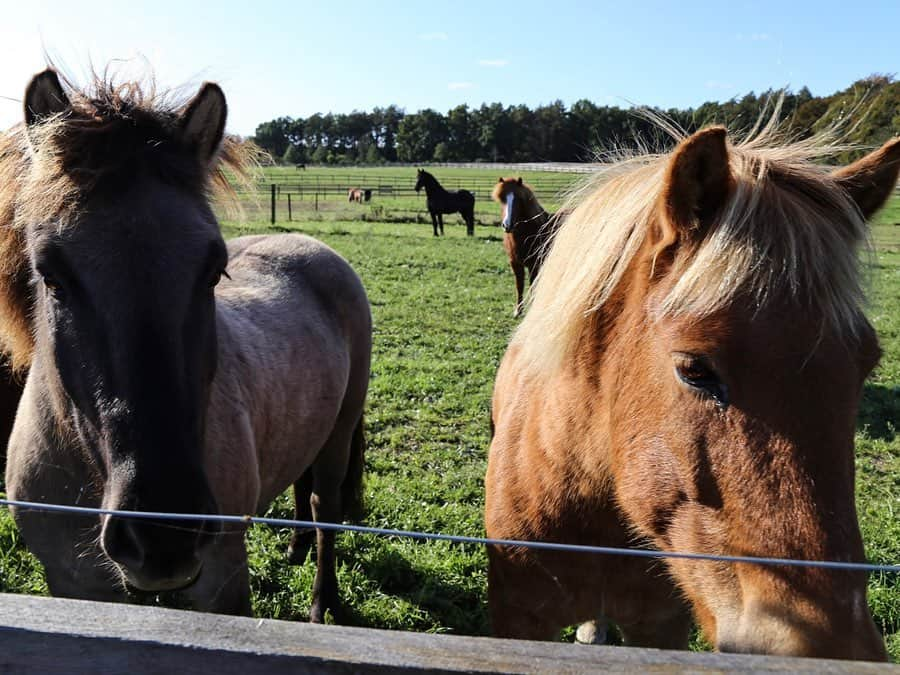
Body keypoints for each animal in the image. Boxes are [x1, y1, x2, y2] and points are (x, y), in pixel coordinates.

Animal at [492, 178, 564, 318]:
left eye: (519, 200)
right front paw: (518, 311)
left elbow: (532, 286)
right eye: (502, 199)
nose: (507, 225)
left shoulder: (534, 265)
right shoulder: (515, 263)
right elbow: (519, 286)